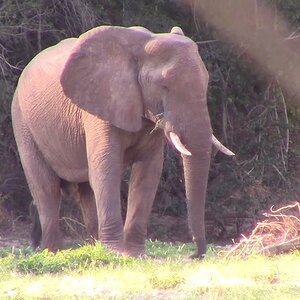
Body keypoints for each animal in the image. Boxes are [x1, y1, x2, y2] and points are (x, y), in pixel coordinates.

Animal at [11, 25, 234, 258]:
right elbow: (106, 168)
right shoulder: (101, 102)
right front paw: (116, 253)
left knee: (85, 191)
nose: (193, 255)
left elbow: (148, 172)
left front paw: (135, 254)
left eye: (207, 81)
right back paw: (53, 253)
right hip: (22, 123)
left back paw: (94, 247)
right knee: (46, 188)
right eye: (163, 85)